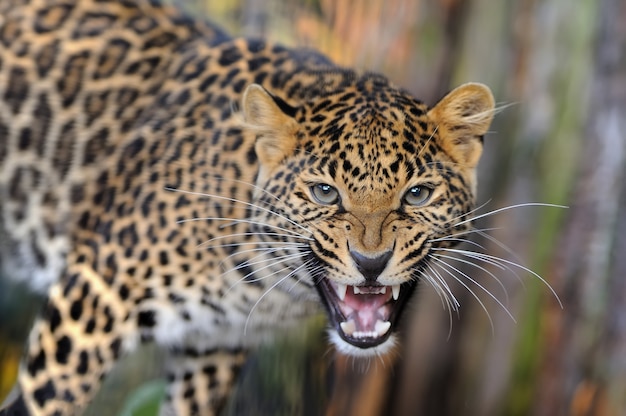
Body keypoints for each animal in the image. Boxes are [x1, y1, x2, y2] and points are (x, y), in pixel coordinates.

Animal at [0, 0, 494, 414]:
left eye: (417, 194)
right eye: (325, 193)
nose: (370, 263)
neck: (266, 282)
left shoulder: (214, 344)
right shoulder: (92, 298)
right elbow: (45, 401)